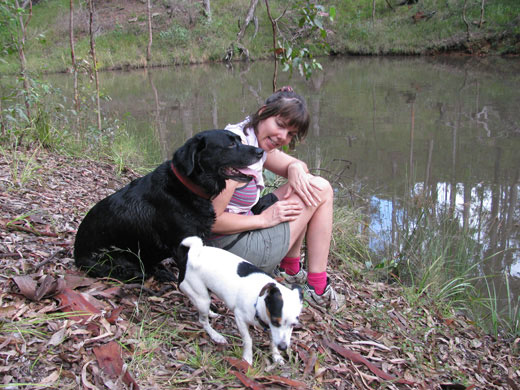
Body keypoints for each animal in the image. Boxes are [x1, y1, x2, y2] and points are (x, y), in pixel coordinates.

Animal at [73, 131, 264, 284]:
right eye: (231, 144)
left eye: (240, 140)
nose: (261, 152)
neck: (188, 187)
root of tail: (76, 253)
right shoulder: (183, 246)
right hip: (113, 259)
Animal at [180, 236, 304, 368]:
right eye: (275, 321)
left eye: (294, 325)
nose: (283, 347)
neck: (258, 303)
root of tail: (191, 255)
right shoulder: (240, 319)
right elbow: (248, 340)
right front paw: (247, 358)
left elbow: (273, 342)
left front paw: (276, 356)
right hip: (201, 299)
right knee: (203, 321)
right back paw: (216, 336)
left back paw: (211, 313)